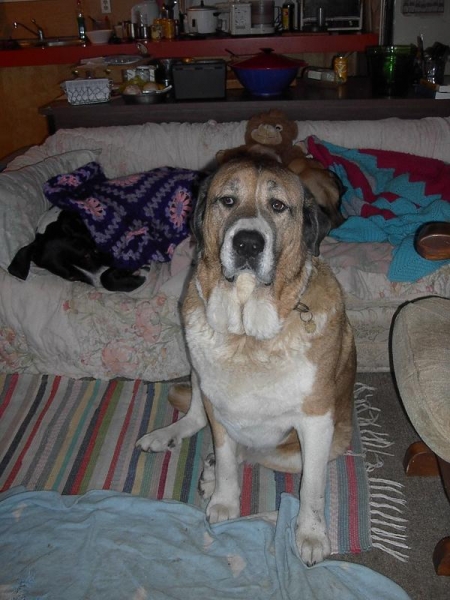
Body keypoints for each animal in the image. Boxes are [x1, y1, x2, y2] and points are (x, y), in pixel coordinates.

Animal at [136, 155, 356, 568]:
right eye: (227, 200)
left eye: (278, 206)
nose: (248, 243)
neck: (248, 337)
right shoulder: (216, 404)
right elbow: (225, 457)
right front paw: (223, 501)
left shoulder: (317, 421)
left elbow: (313, 489)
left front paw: (311, 534)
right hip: (197, 372)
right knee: (197, 419)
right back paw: (169, 441)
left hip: (323, 441)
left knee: (262, 456)